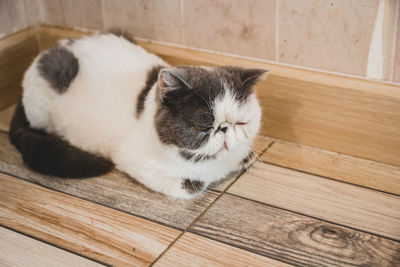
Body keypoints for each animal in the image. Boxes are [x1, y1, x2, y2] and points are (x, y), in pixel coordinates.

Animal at [9, 30, 266, 199]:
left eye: (241, 122)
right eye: (201, 127)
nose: (224, 129)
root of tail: (56, 48)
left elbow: (245, 157)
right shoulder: (134, 160)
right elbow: (189, 186)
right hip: (44, 102)